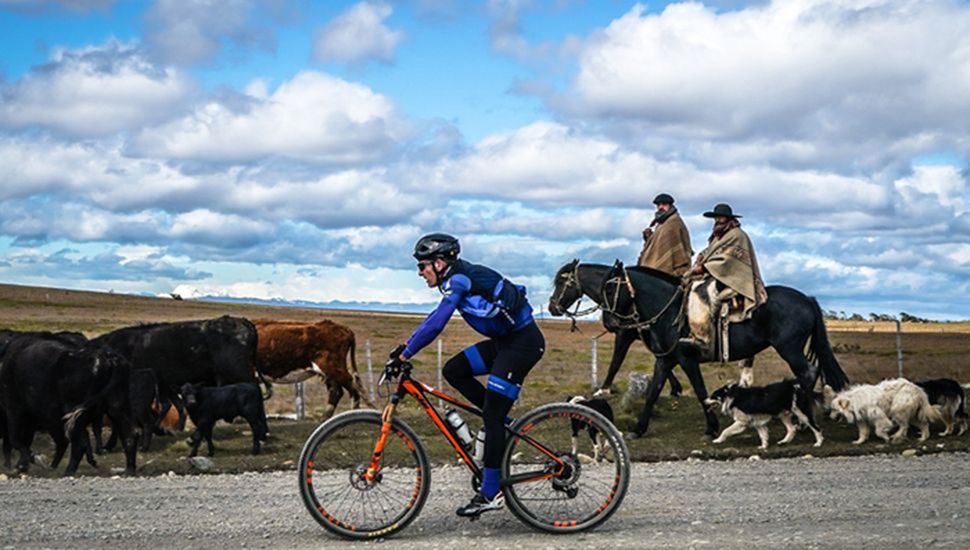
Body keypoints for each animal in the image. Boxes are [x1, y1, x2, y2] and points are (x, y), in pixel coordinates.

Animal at [0, 334, 138, 476]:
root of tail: (106, 357)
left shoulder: (14, 409)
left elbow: (15, 439)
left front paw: (31, 462)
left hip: (73, 414)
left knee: (76, 444)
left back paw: (68, 471)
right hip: (117, 408)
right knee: (129, 435)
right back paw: (129, 470)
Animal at [548, 260, 684, 398]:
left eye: (561, 282)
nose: (551, 308)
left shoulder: (624, 334)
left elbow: (615, 363)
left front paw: (604, 389)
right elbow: (662, 358)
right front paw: (675, 388)